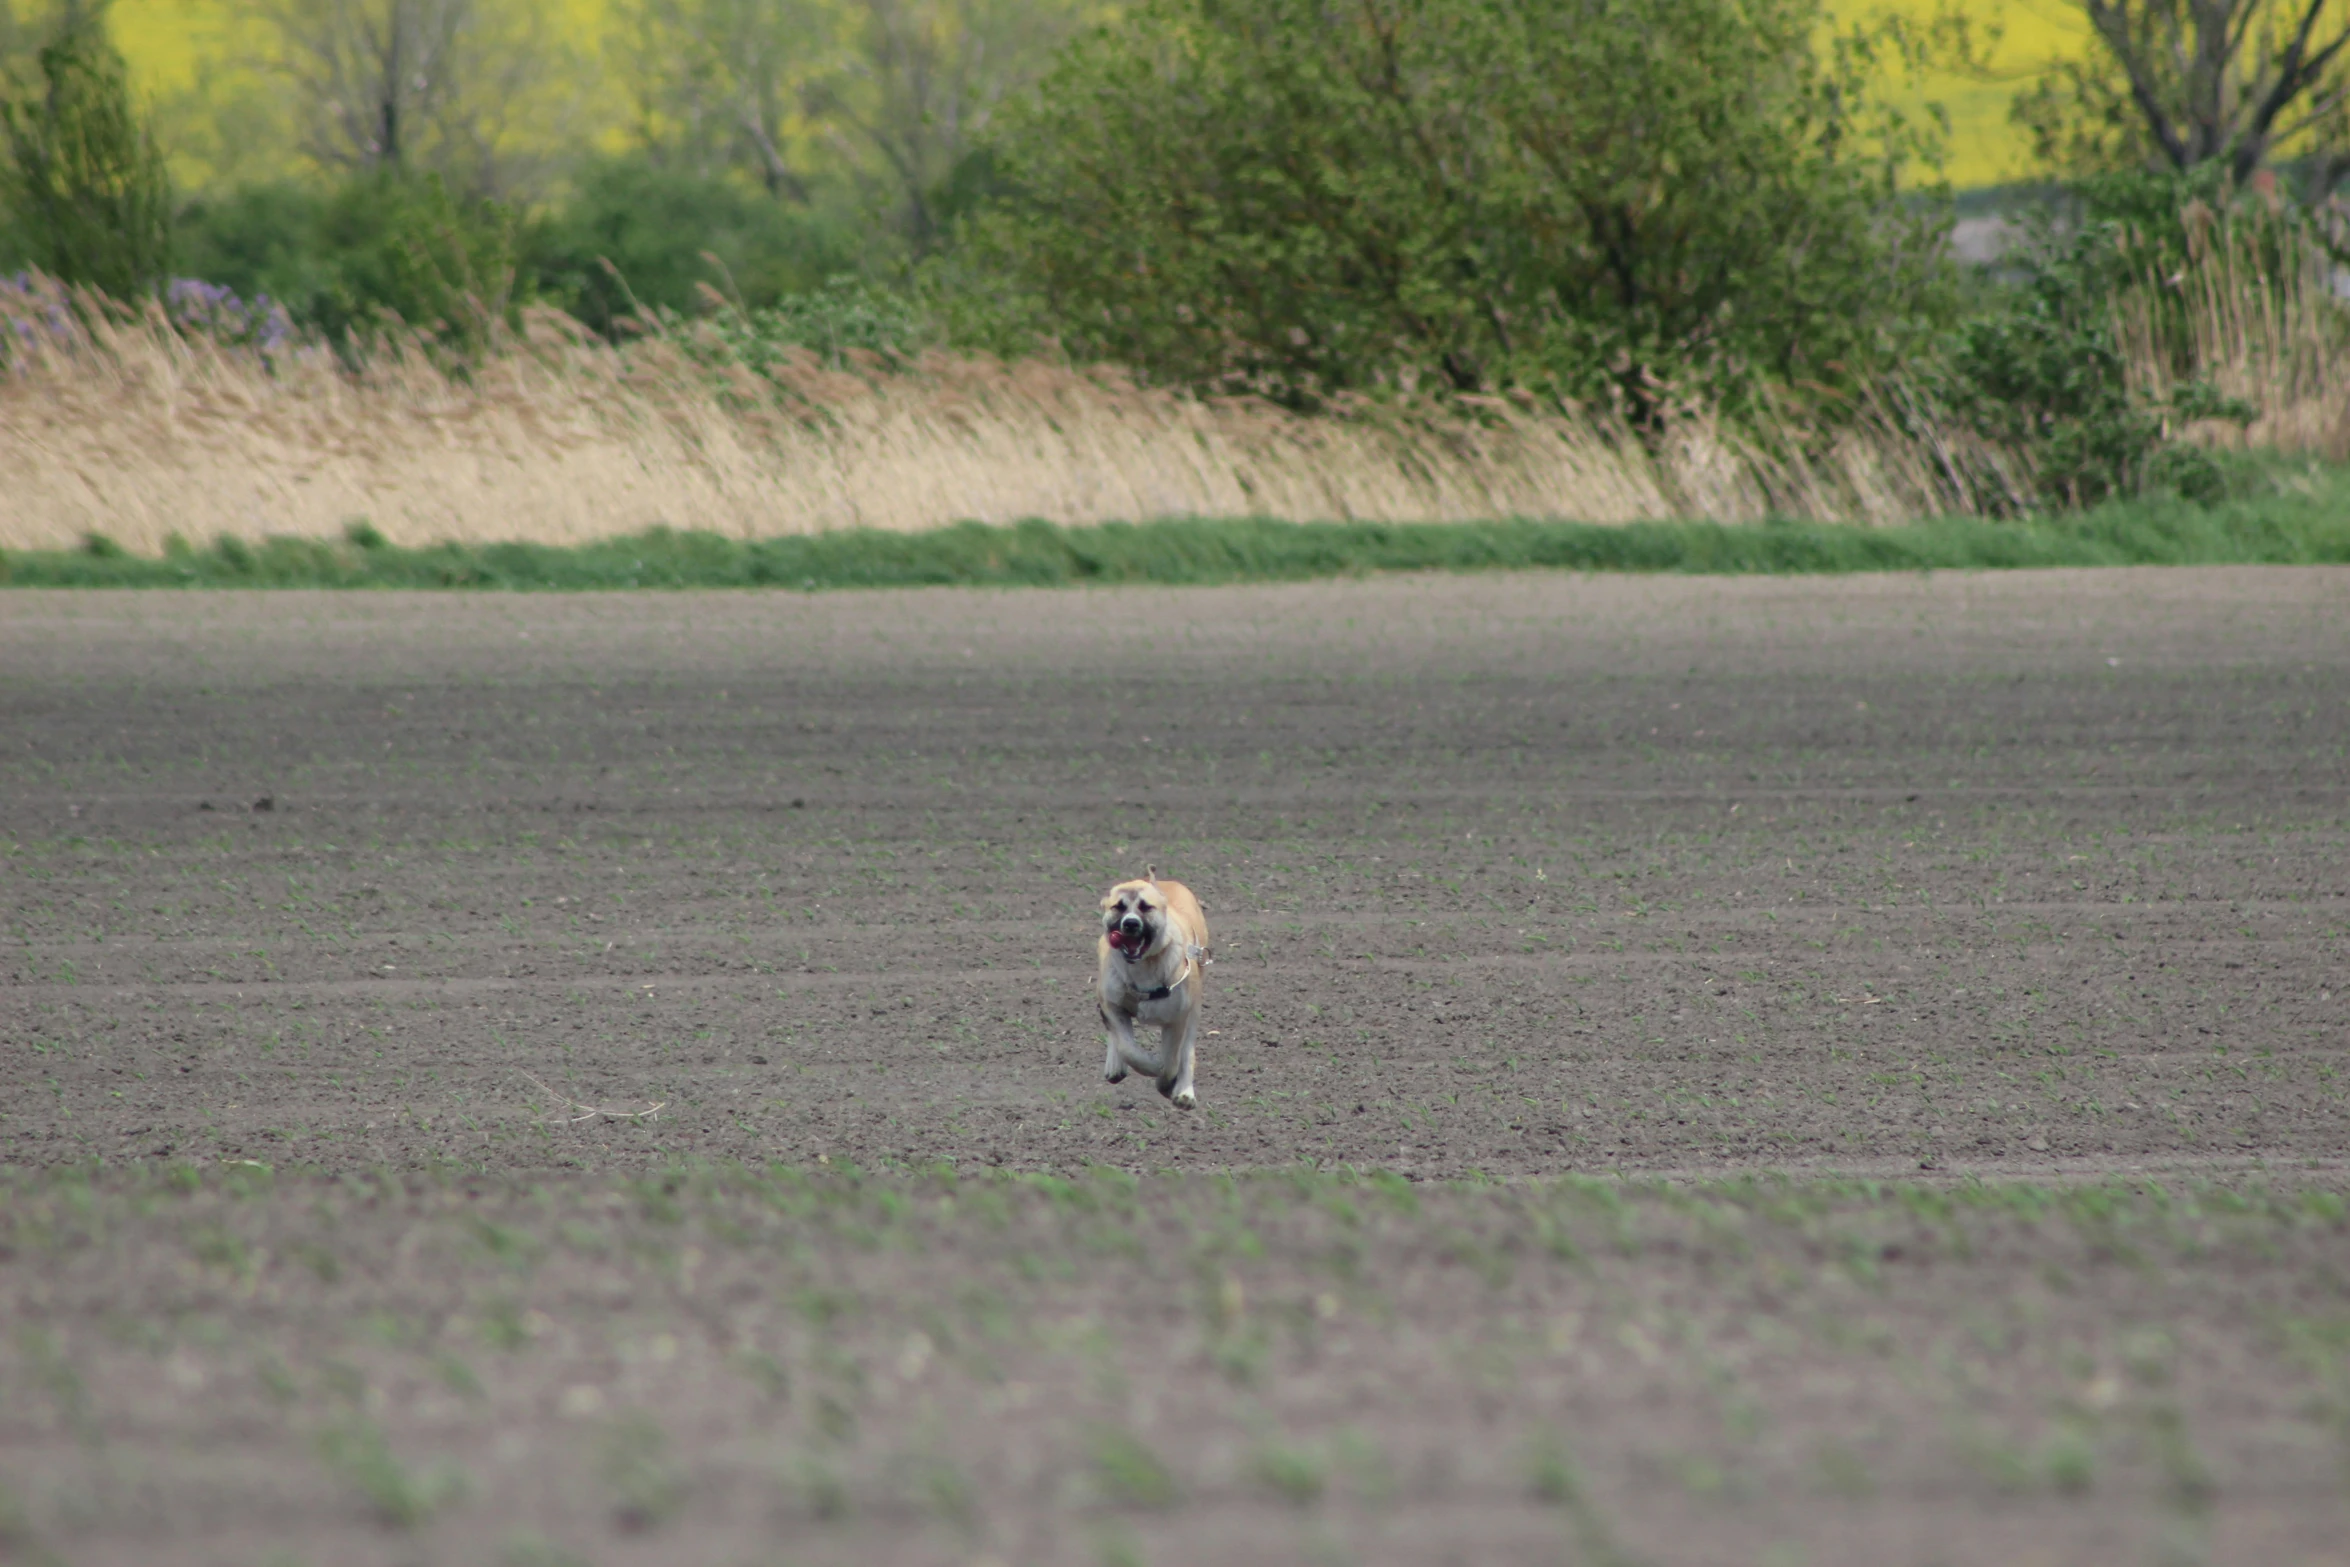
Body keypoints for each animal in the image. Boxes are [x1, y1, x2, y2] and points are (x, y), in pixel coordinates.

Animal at [1095, 864, 1212, 1108]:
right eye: (1118, 907)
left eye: (1146, 907)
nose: (1130, 923)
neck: (1144, 966)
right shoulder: (1113, 1005)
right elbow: (1127, 1047)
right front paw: (1148, 1064)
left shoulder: (1176, 1019)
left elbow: (1171, 1059)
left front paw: (1167, 1082)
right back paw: (1115, 1065)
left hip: (1193, 1008)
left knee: (1187, 1050)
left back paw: (1184, 1091)